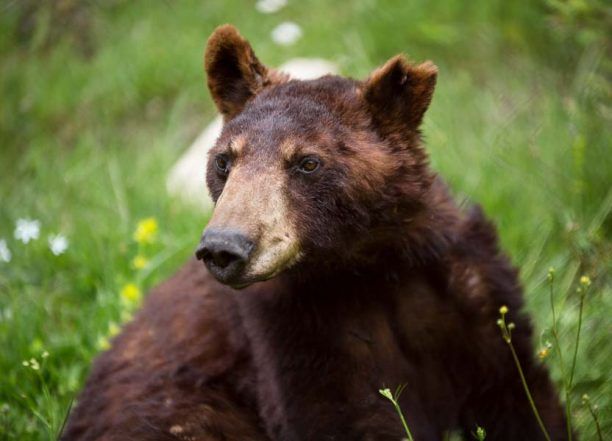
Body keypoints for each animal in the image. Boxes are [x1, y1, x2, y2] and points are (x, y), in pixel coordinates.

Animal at [61, 24, 568, 440]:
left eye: (307, 162)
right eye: (224, 160)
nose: (225, 248)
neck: (370, 264)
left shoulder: (472, 298)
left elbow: (520, 395)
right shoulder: (297, 334)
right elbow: (341, 417)